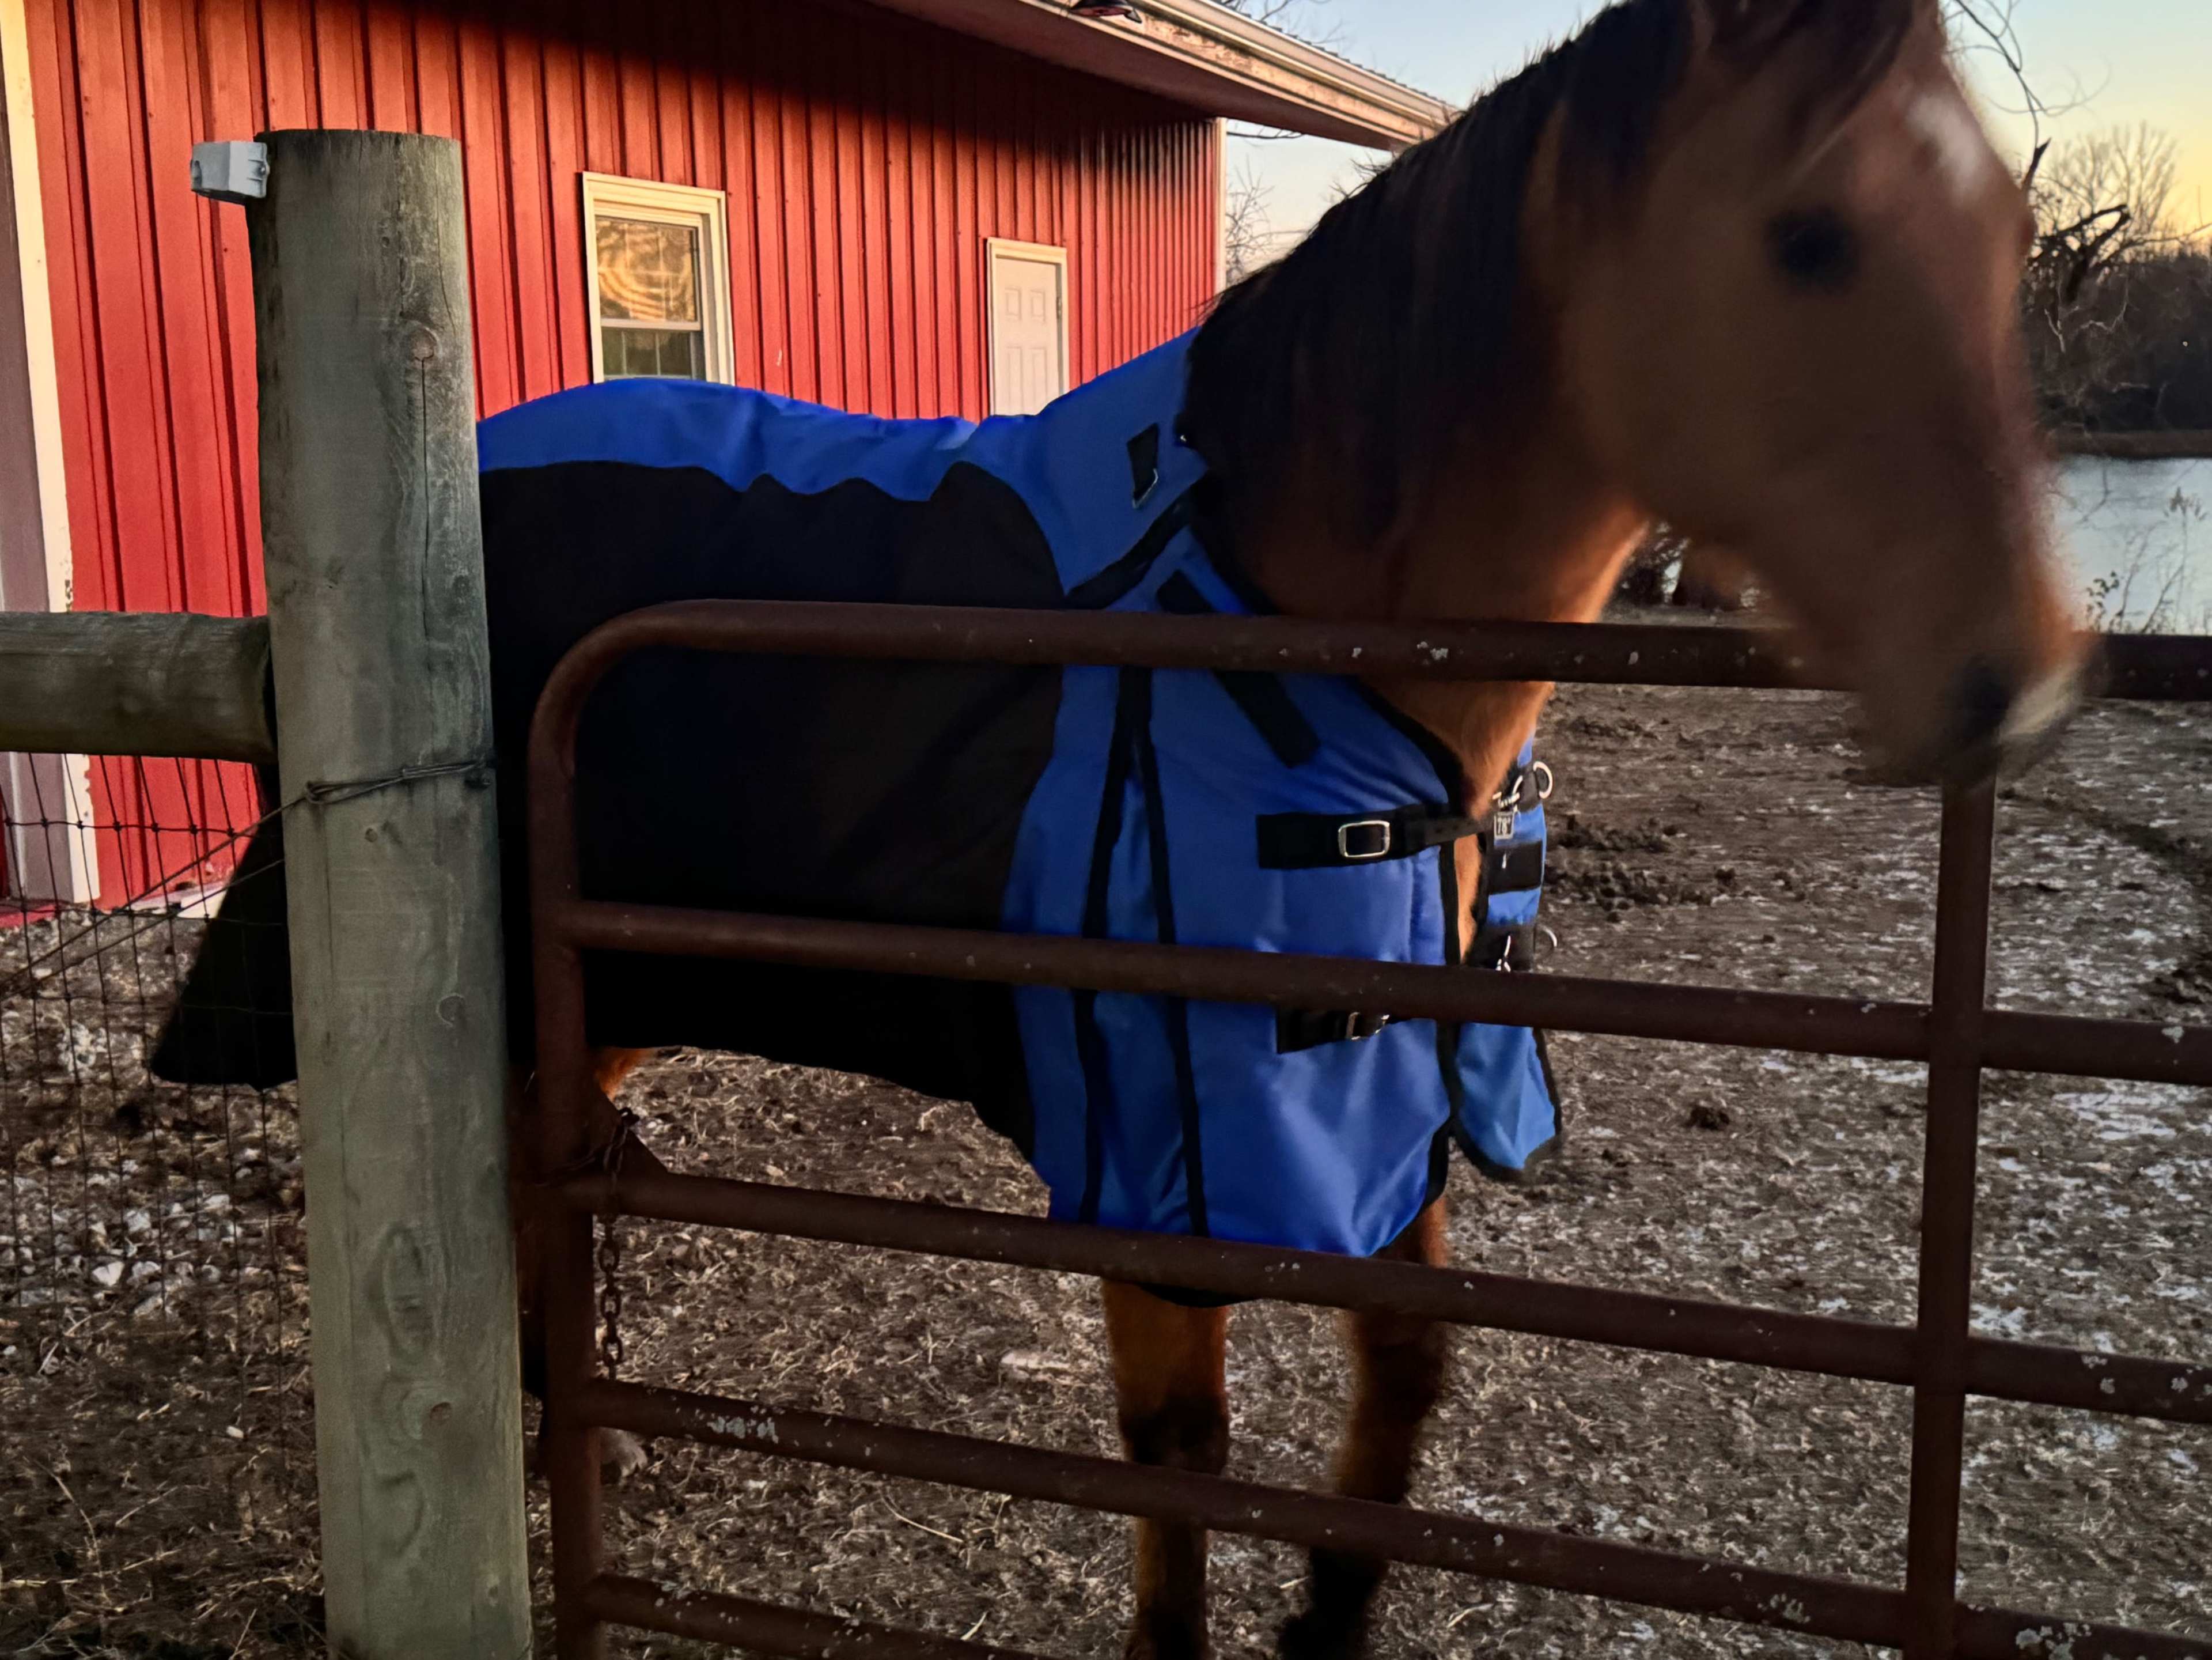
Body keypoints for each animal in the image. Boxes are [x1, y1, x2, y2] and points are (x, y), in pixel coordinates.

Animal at [151, 0, 2084, 1653]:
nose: (2018, 678)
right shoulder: (1168, 1150)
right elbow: (1178, 1450)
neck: (1279, 645)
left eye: (2006, 242)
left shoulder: (1372, 1105)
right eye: (1809, 235)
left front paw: (1331, 1620)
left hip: (602, 992)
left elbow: (1405, 1371)